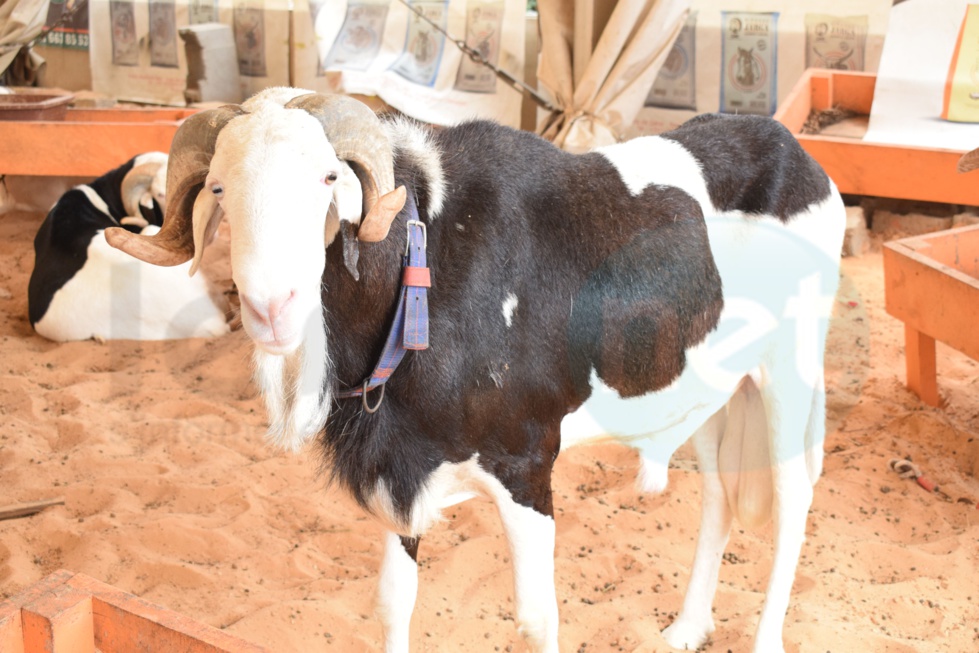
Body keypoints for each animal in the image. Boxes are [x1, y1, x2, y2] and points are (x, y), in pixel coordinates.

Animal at [106, 88, 846, 653]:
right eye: (220, 187)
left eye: (328, 178)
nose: (269, 307)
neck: (428, 265)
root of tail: (795, 151)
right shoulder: (400, 461)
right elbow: (394, 600)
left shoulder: (527, 462)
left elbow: (537, 619)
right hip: (713, 382)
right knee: (721, 493)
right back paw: (688, 626)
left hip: (790, 370)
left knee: (793, 502)